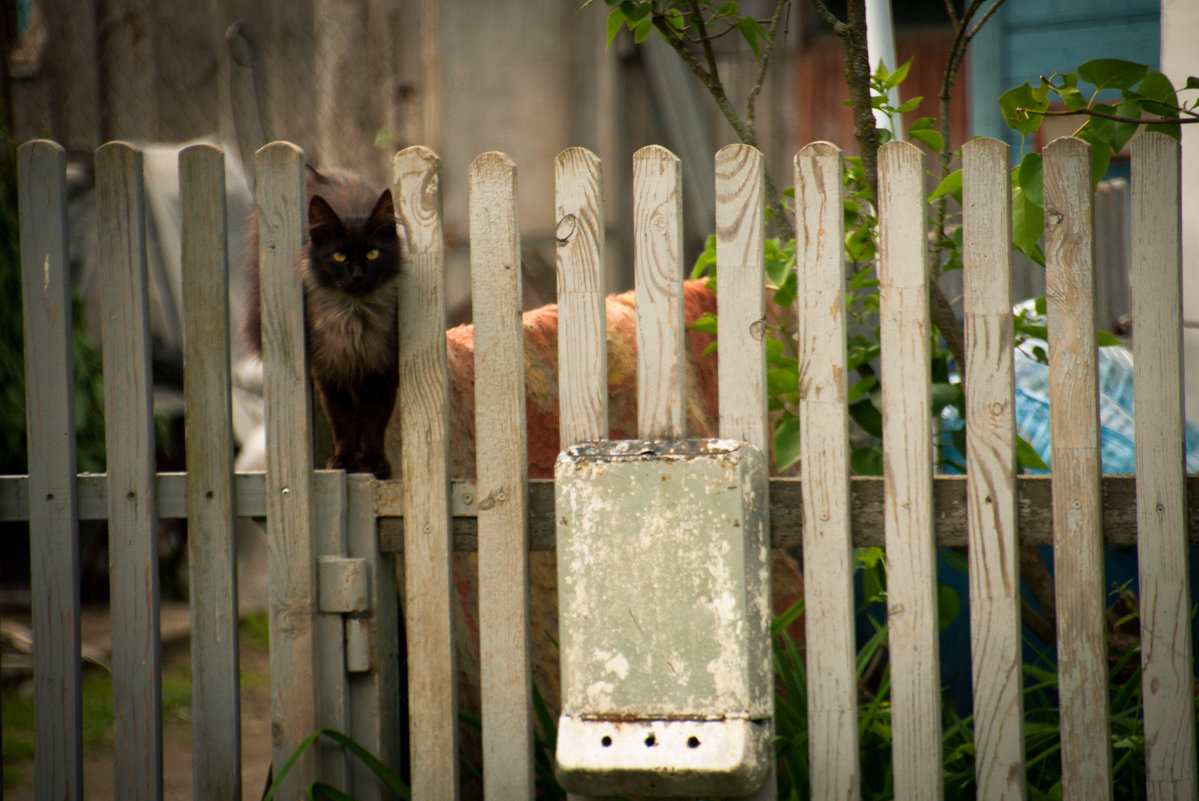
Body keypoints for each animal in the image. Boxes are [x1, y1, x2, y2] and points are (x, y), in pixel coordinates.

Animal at [243, 164, 402, 474]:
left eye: (373, 254)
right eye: (339, 256)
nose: (358, 277)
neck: (355, 321)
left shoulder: (382, 372)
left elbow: (374, 423)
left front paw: (374, 462)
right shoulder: (330, 372)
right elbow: (342, 423)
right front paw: (344, 461)